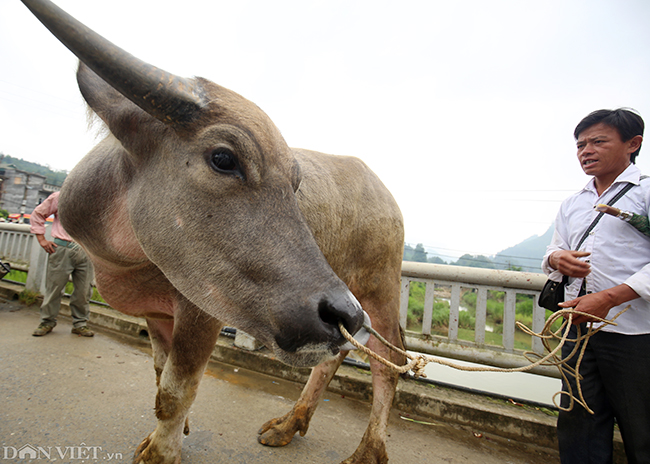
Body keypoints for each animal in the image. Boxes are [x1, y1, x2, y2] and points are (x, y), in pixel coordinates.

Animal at [21, 0, 404, 464]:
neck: (125, 259)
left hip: (379, 289)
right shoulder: (155, 313)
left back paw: (368, 450)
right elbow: (158, 374)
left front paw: (161, 451)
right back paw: (290, 423)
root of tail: (385, 195)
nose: (340, 312)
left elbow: (174, 390)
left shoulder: (203, 312)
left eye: (294, 184)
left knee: (387, 361)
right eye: (224, 159)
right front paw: (173, 431)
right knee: (334, 357)